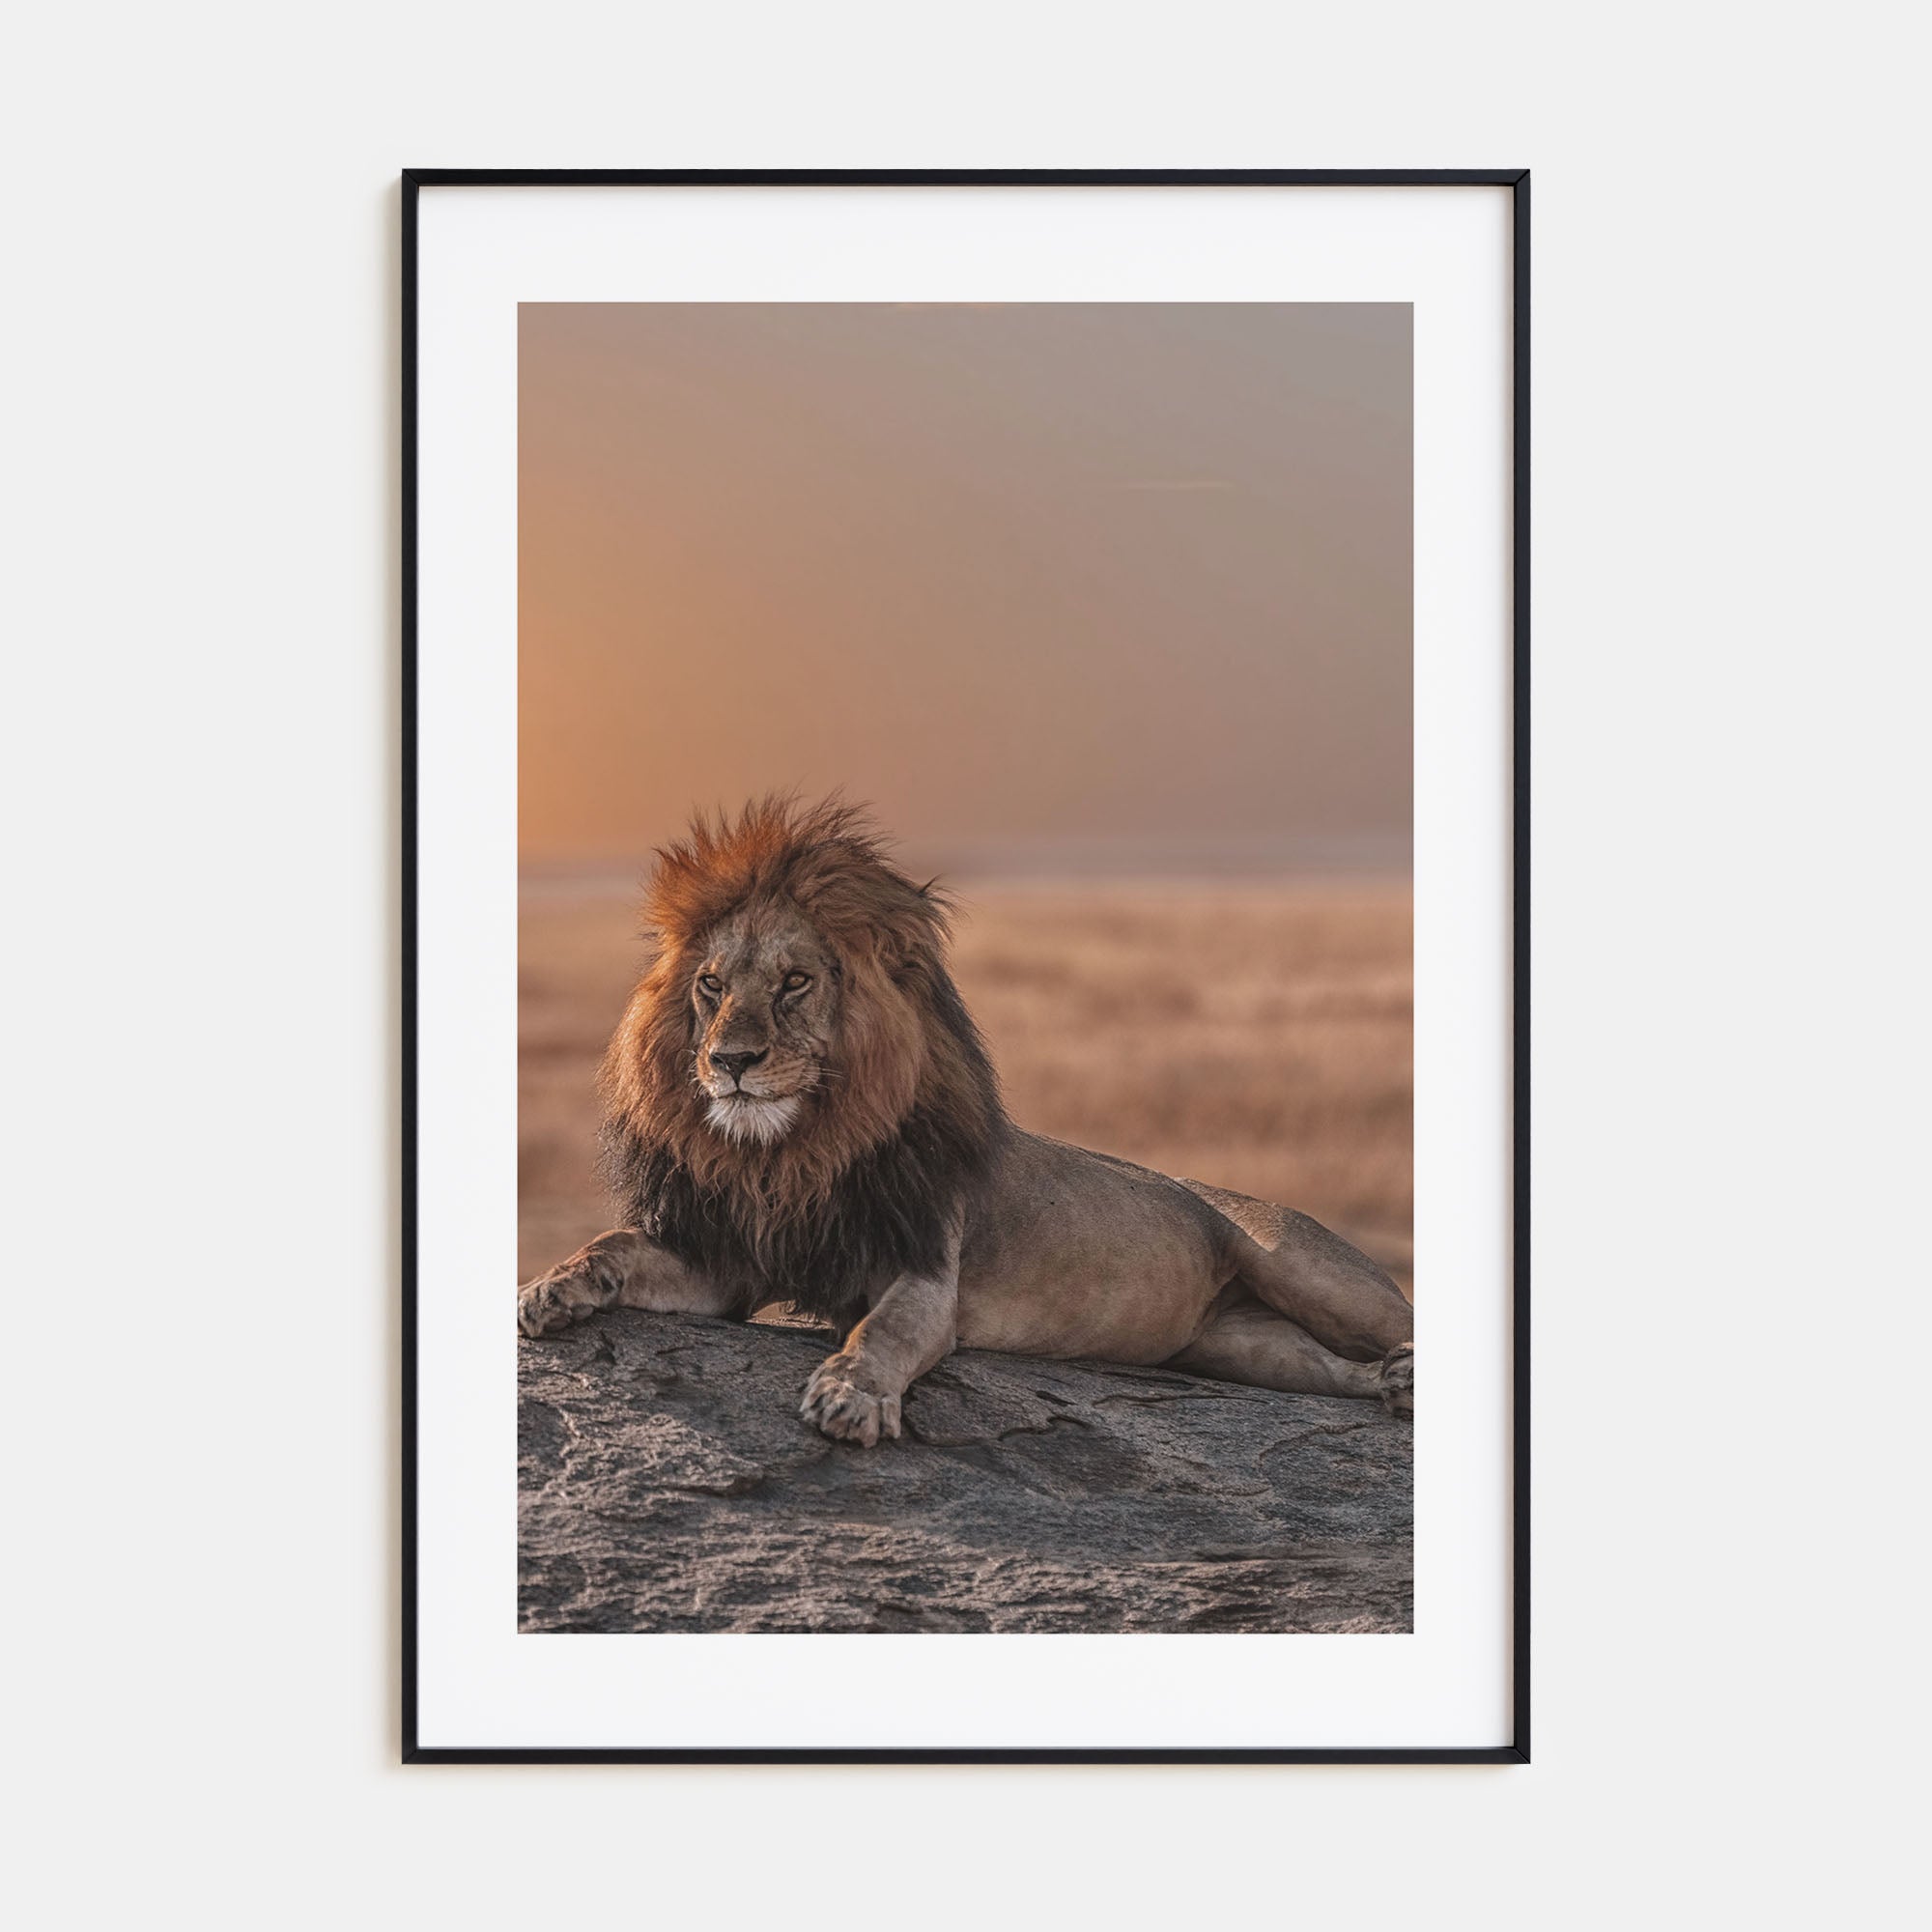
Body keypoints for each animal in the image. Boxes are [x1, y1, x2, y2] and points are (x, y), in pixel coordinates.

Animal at [517, 796, 1414, 1444]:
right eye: (710, 985)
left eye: (796, 981)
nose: (731, 1061)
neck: (791, 1153)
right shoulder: (731, 1261)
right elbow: (615, 1246)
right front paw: (552, 1287)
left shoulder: (922, 1272)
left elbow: (879, 1333)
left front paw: (851, 1397)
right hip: (1238, 1344)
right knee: (1329, 1371)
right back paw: (1392, 1385)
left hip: (1306, 1269)